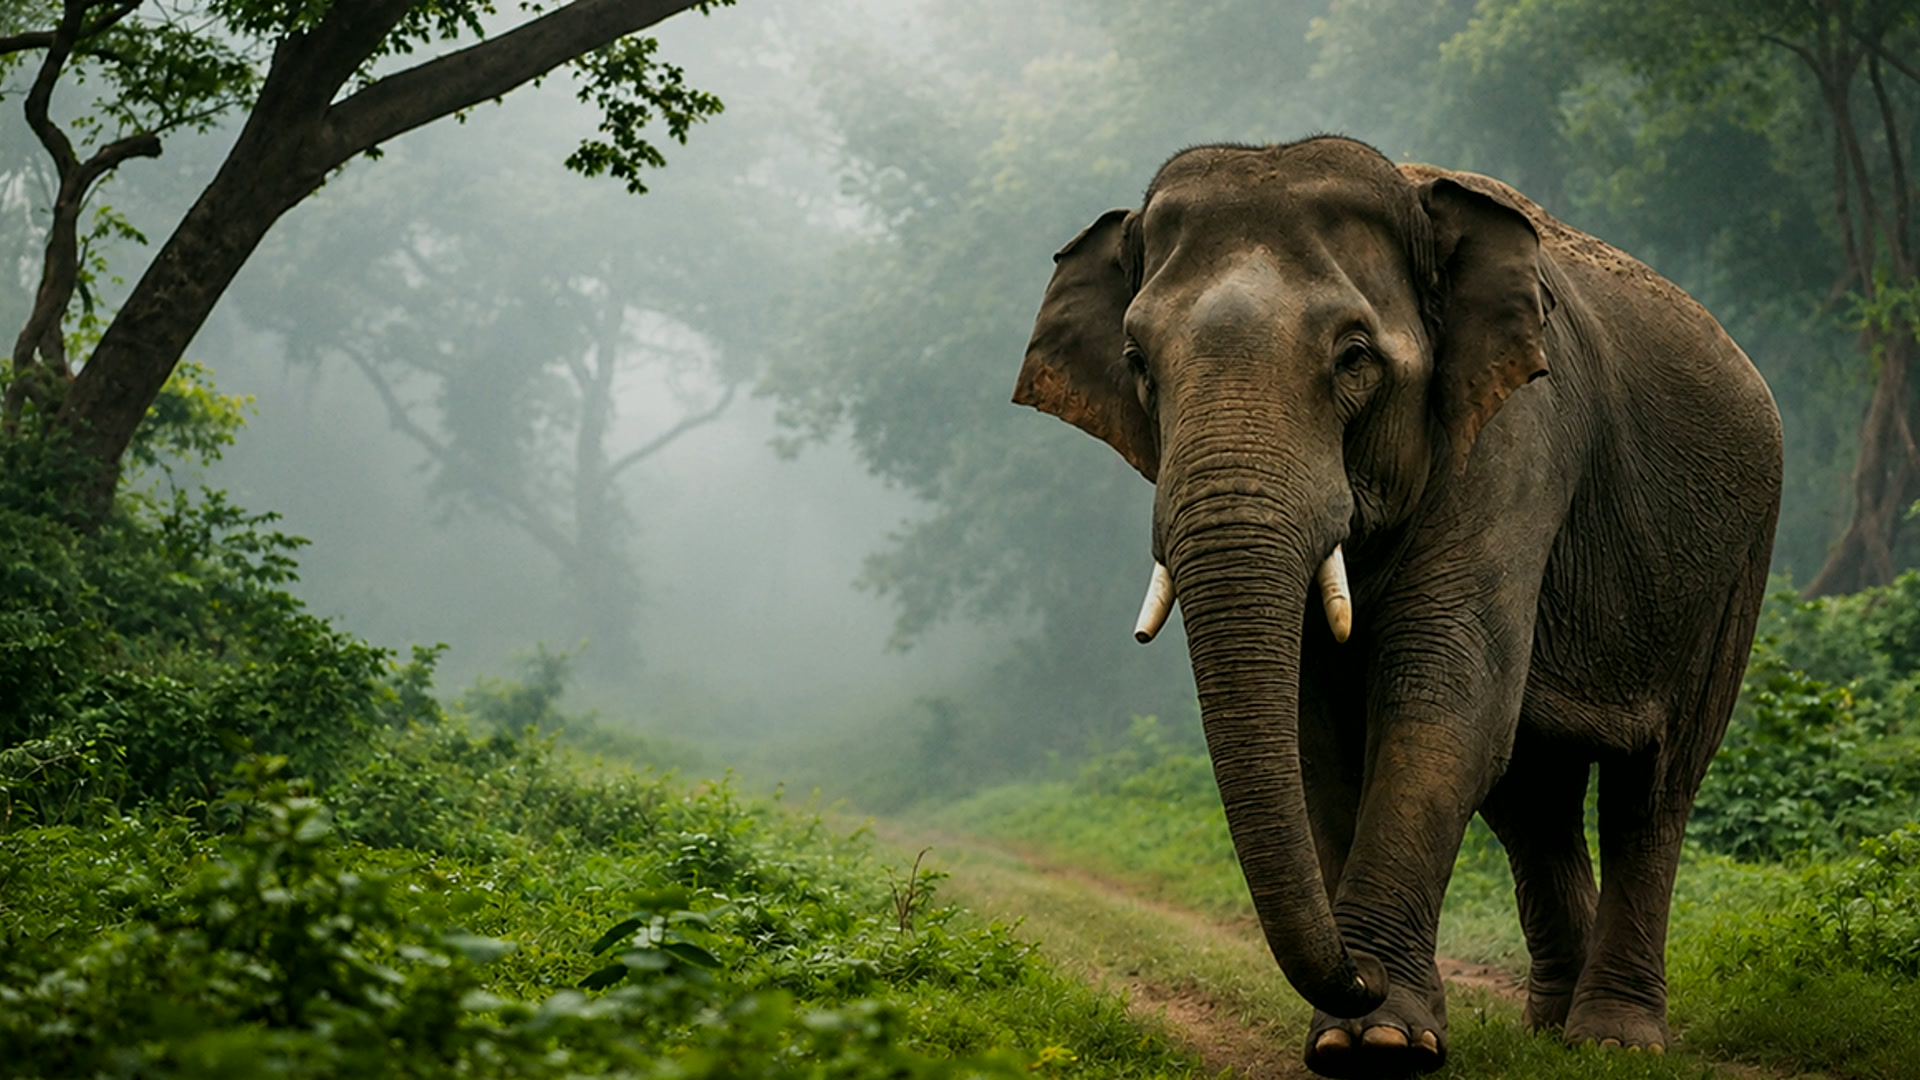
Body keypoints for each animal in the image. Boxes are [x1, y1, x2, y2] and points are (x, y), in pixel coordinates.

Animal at [1012, 136, 1781, 1078]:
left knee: (1656, 785)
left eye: (1355, 358)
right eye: (1137, 365)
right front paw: (1363, 1029)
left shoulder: (1517, 434)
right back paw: (1550, 1025)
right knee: (1533, 793)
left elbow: (1442, 700)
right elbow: (1322, 734)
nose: (1358, 974)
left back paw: (1612, 1037)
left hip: (1736, 566)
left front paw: (1380, 1036)